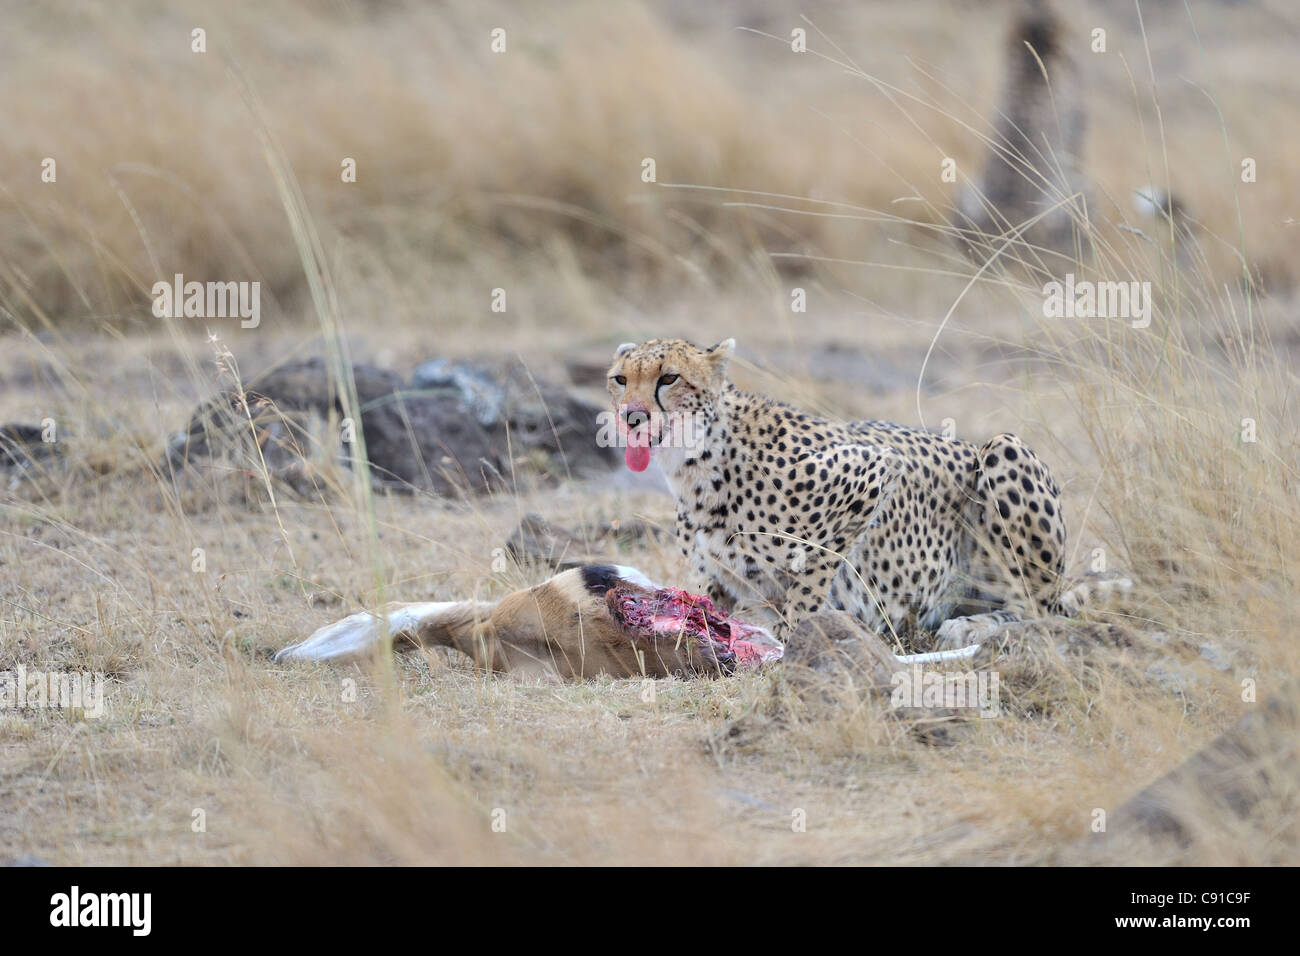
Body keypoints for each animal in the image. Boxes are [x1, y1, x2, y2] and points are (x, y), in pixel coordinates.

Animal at [603, 338, 1123, 650]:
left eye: (669, 378)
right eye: (620, 379)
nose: (632, 415)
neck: (696, 463)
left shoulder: (873, 470)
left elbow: (811, 581)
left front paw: (796, 637)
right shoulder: (717, 580)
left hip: (1003, 450)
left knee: (1041, 612)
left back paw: (970, 626)